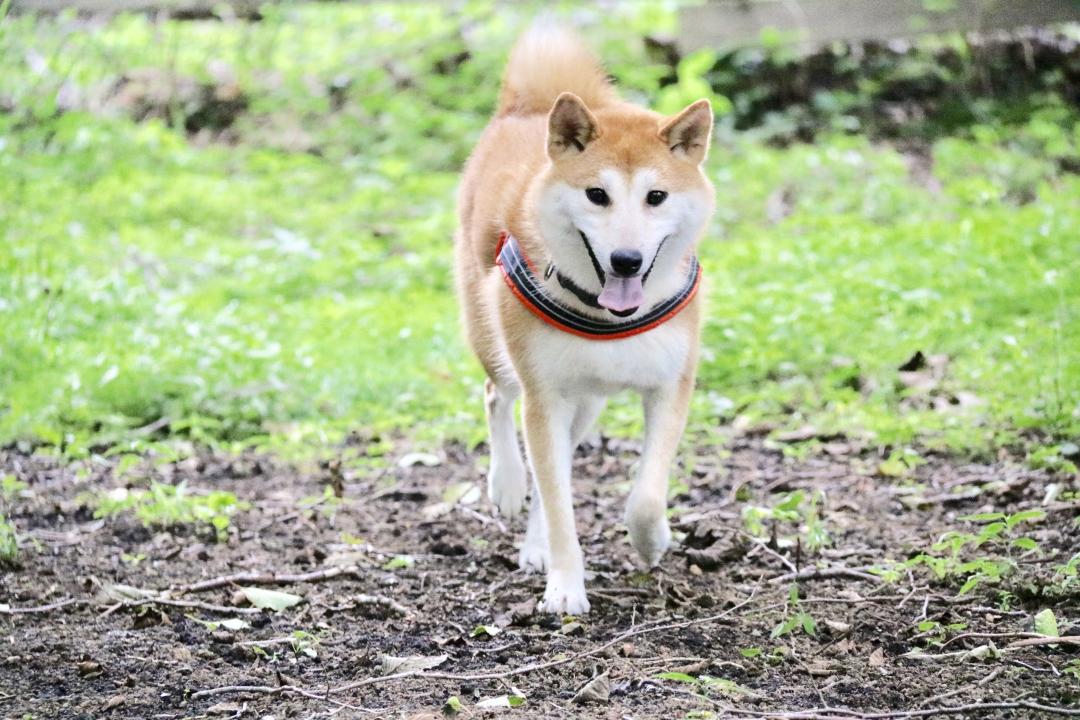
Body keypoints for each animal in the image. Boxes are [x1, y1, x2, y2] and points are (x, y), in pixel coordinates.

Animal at [451, 25, 712, 617]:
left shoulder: (670, 386)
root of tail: (528, 107)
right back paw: (507, 485)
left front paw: (652, 540)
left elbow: (645, 495)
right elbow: (559, 506)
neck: (607, 313)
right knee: (497, 398)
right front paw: (566, 586)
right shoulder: (544, 397)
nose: (626, 260)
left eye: (655, 196)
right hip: (499, 347)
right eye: (598, 195)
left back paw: (533, 541)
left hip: (585, 402)